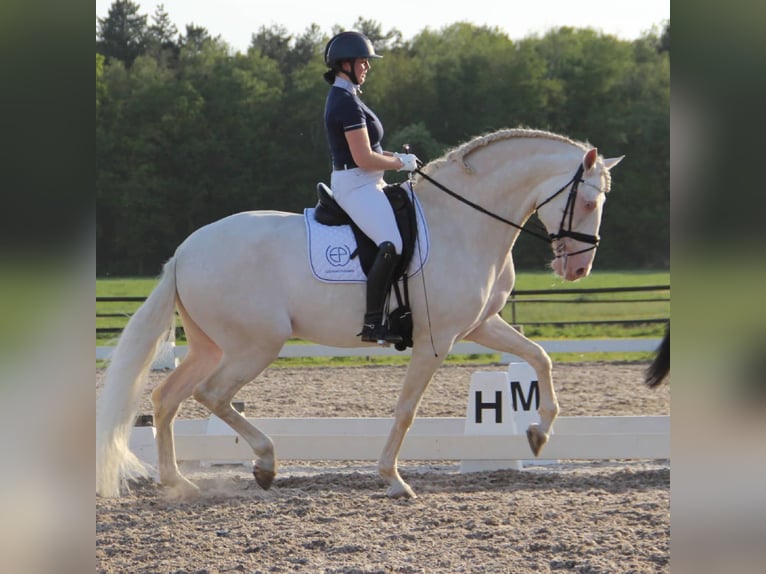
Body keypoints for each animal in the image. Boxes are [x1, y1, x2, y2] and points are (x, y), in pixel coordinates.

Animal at [97, 128, 624, 502]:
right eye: (588, 201)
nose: (578, 268)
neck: (464, 223)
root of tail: (185, 253)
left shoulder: (480, 326)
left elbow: (540, 359)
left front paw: (538, 432)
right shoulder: (436, 340)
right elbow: (407, 409)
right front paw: (392, 478)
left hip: (212, 345)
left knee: (167, 398)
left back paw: (179, 483)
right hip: (255, 345)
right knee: (211, 395)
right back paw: (265, 463)